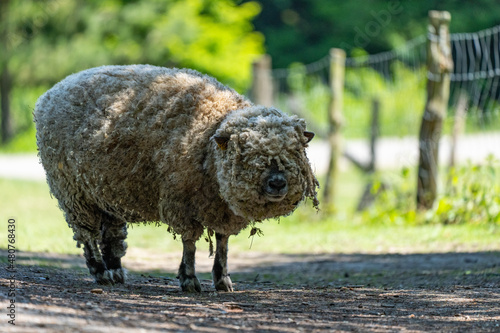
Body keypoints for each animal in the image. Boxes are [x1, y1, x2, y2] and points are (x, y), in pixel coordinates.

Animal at [33, 64, 318, 290]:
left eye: (295, 150)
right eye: (247, 152)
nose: (278, 183)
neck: (207, 140)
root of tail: (50, 93)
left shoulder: (221, 208)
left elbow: (222, 243)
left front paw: (222, 279)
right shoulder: (182, 201)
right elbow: (189, 243)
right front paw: (189, 279)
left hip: (106, 191)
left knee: (110, 233)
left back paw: (115, 271)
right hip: (73, 191)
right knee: (88, 234)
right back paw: (100, 271)